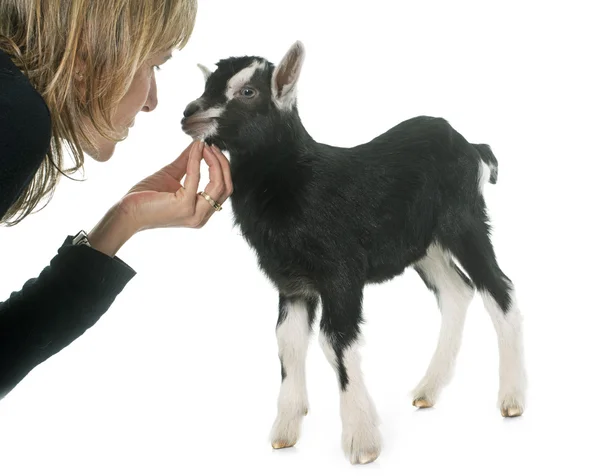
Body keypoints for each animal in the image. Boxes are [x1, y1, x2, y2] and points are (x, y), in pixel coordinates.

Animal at [182, 41, 524, 464]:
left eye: (247, 91)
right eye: (208, 84)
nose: (189, 114)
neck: (297, 180)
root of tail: (472, 147)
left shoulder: (340, 274)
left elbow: (335, 341)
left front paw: (362, 439)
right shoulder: (292, 282)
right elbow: (287, 342)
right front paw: (285, 429)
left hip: (464, 222)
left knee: (499, 287)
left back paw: (512, 398)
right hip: (424, 245)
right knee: (457, 291)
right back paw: (428, 389)